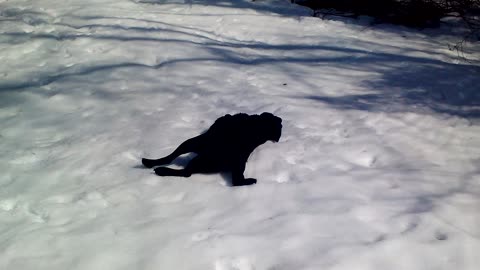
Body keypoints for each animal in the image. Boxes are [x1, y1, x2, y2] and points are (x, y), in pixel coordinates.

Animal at [144, 112, 284, 186]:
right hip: (193, 144)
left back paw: (158, 168)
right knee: (174, 160)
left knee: (184, 171)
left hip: (195, 146)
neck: (259, 125)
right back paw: (150, 163)